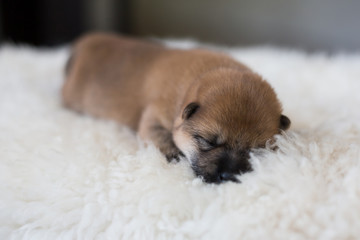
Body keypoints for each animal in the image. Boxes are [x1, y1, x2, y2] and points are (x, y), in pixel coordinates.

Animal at [63, 32, 292, 184]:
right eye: (207, 141)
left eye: (257, 149)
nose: (227, 176)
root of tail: (84, 43)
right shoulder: (153, 118)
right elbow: (162, 138)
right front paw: (175, 156)